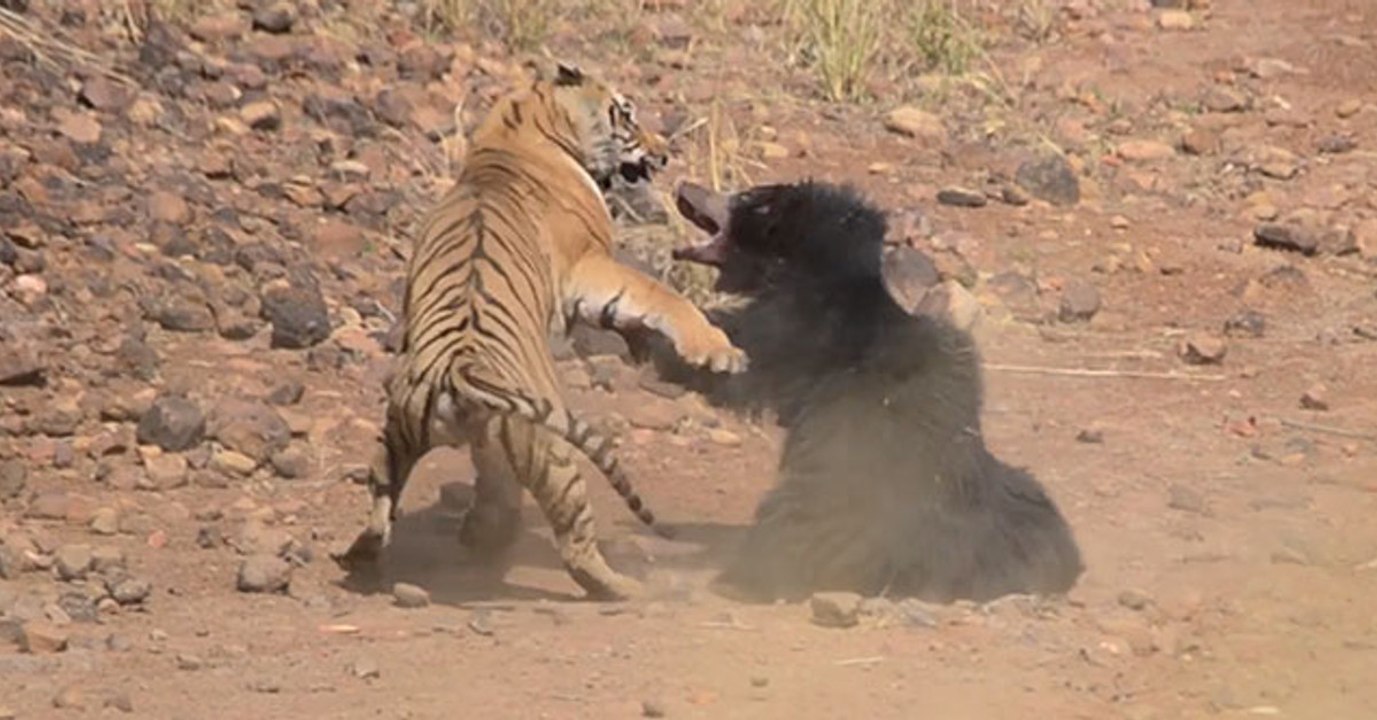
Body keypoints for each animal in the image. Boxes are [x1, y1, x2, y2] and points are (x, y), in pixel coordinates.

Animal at [333, 62, 747, 600]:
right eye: (627, 115)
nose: (664, 152)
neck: (517, 131)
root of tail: (457, 371)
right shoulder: (589, 268)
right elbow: (659, 295)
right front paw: (718, 351)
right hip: (550, 451)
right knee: (574, 540)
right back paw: (623, 587)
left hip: (396, 437)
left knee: (382, 512)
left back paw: (368, 555)